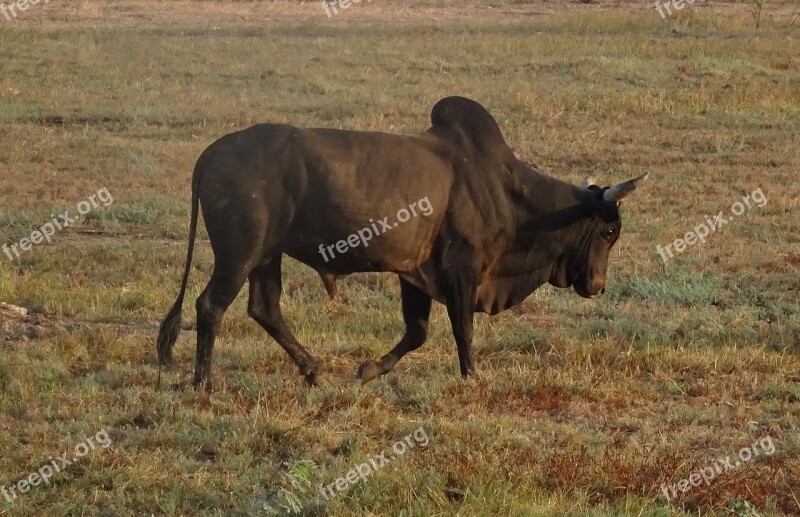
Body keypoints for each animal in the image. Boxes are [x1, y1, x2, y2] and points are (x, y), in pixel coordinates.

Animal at [155, 95, 644, 388]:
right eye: (608, 231)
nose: (597, 286)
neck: (505, 189)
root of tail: (211, 154)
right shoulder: (462, 268)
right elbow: (462, 329)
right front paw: (472, 377)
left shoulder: (415, 274)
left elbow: (417, 332)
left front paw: (368, 370)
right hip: (240, 253)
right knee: (211, 306)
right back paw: (203, 383)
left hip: (265, 255)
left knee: (264, 307)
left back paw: (312, 370)